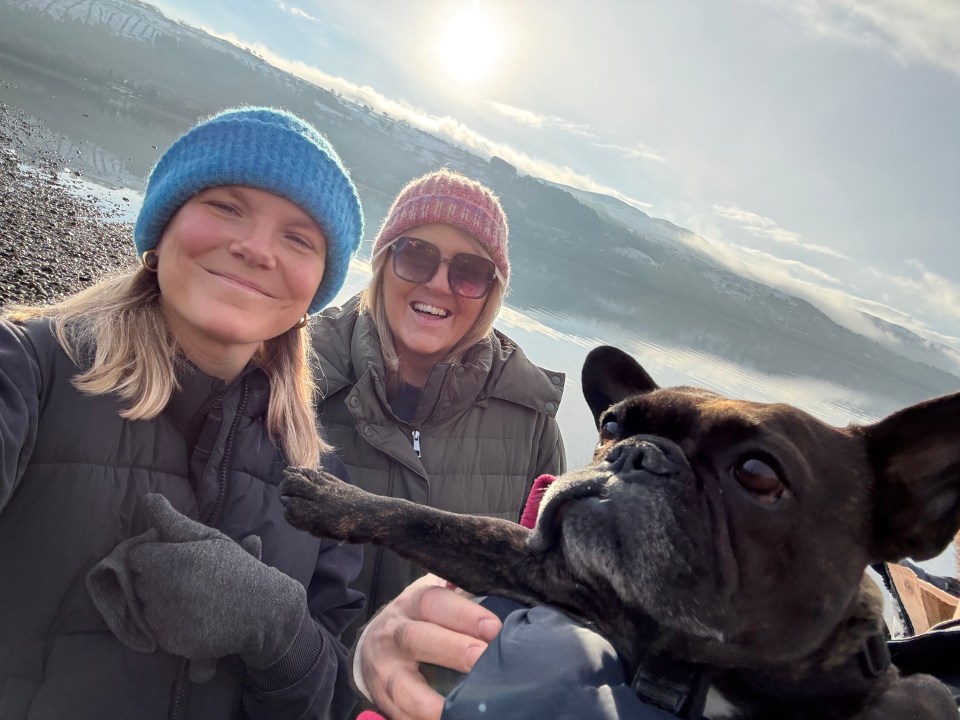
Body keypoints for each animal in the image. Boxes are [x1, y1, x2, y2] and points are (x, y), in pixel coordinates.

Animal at [278, 346, 960, 716]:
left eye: (759, 474)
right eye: (610, 423)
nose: (638, 453)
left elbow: (440, 519)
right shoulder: (555, 574)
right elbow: (439, 522)